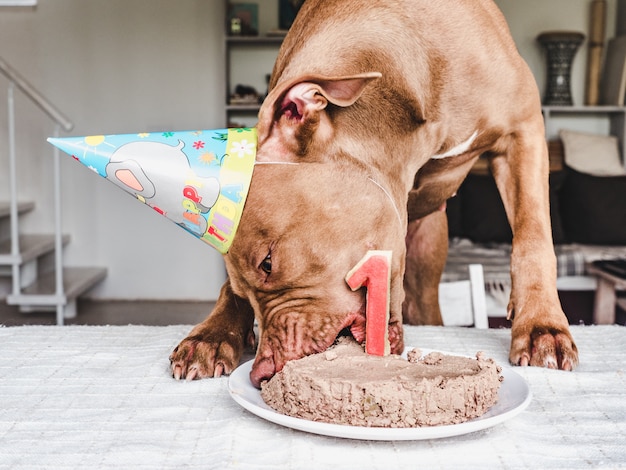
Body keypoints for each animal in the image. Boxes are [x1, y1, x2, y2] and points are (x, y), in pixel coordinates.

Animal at [169, 0, 576, 386]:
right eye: (246, 287)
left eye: (267, 263)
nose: (262, 373)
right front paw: (215, 335)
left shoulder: (523, 132)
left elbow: (533, 238)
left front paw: (541, 326)